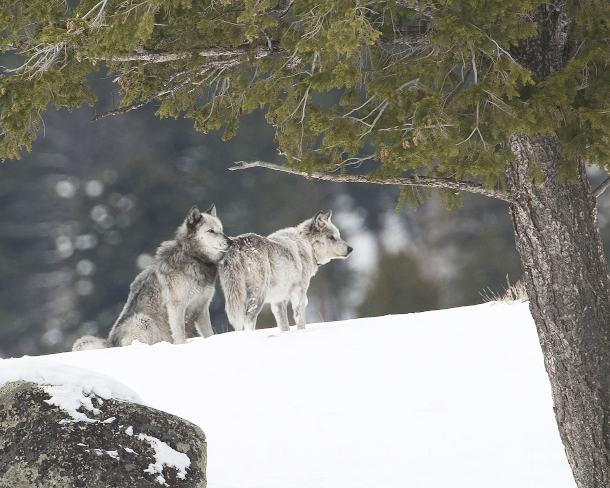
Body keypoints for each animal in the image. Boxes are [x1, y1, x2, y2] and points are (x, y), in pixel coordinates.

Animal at [71, 204, 232, 348]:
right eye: (211, 231)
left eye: (221, 230)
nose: (230, 241)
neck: (194, 257)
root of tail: (111, 344)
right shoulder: (176, 306)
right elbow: (179, 335)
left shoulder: (202, 308)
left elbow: (209, 334)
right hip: (144, 320)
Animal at [218, 212, 352, 334]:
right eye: (331, 237)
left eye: (338, 236)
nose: (351, 249)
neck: (306, 245)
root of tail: (237, 243)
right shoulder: (299, 292)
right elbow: (300, 320)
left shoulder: (278, 301)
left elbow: (284, 326)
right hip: (259, 294)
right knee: (248, 319)